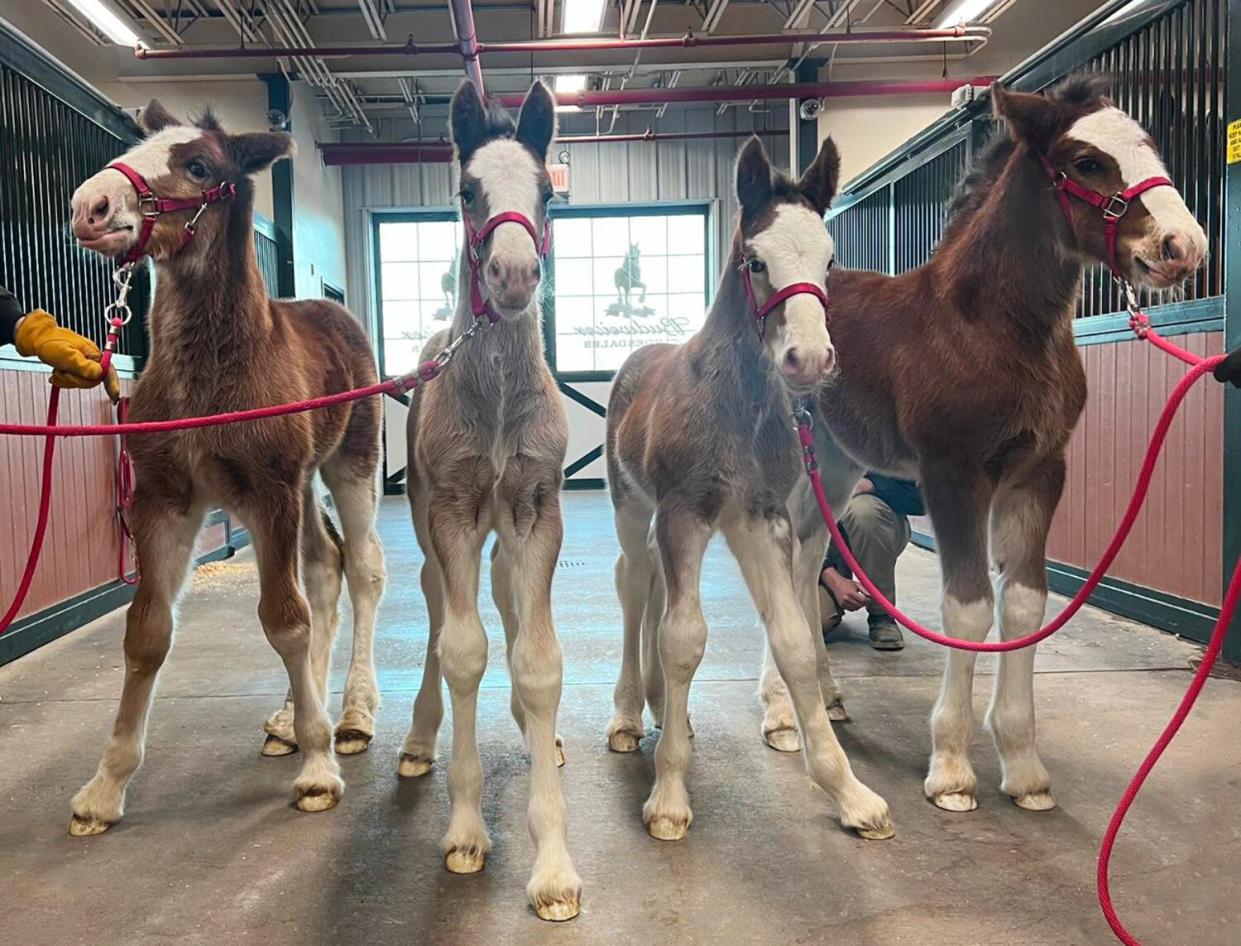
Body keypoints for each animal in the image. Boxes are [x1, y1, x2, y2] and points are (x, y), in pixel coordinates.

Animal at [62, 99, 379, 829]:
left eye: (200, 166)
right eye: (137, 146)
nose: (90, 206)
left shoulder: (269, 494)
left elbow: (284, 619)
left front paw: (317, 769)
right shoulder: (163, 499)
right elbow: (147, 630)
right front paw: (104, 788)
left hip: (349, 464)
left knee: (362, 568)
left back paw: (350, 717)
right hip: (303, 486)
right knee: (325, 567)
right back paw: (293, 718)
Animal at [603, 136, 888, 834]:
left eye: (830, 258)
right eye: (756, 261)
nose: (809, 360)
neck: (735, 410)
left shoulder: (761, 519)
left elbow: (793, 641)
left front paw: (850, 793)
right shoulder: (683, 513)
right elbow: (684, 639)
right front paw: (669, 798)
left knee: (656, 590)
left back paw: (663, 709)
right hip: (632, 510)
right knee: (634, 588)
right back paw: (628, 715)